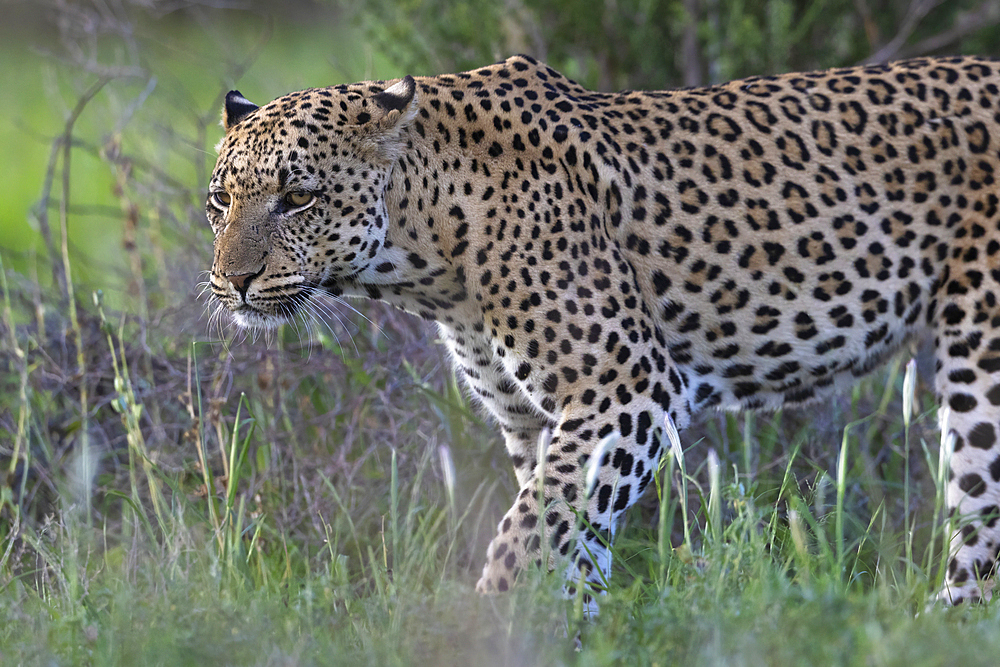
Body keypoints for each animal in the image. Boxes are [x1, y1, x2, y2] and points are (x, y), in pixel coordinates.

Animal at [207, 52, 1000, 604]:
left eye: (298, 197)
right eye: (220, 200)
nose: (232, 280)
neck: (429, 252)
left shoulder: (627, 391)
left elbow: (526, 537)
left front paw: (494, 619)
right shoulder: (534, 421)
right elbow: (570, 546)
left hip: (981, 359)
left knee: (980, 528)